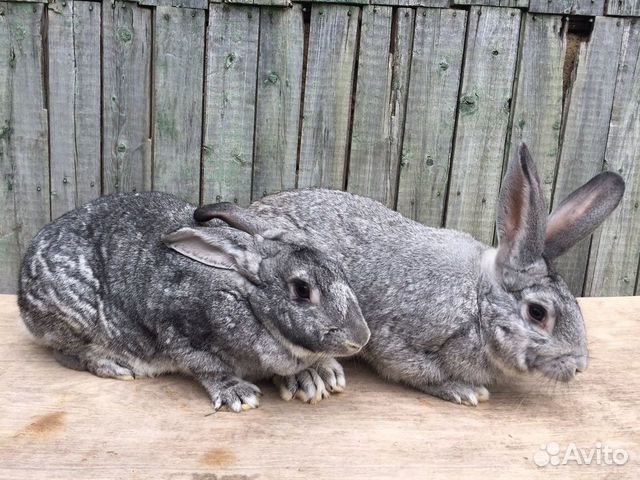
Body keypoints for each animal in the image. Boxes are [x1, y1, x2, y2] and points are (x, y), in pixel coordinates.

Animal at [18, 191, 370, 412]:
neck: (250, 303)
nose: (361, 338)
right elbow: (207, 367)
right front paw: (238, 394)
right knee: (69, 353)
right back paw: (115, 366)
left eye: (340, 267)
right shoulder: (180, 332)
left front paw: (316, 375)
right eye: (301, 289)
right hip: (72, 319)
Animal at [195, 144, 624, 406]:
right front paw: (464, 391)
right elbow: (416, 372)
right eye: (538, 313)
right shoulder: (402, 341)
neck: (478, 302)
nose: (579, 366)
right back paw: (314, 378)